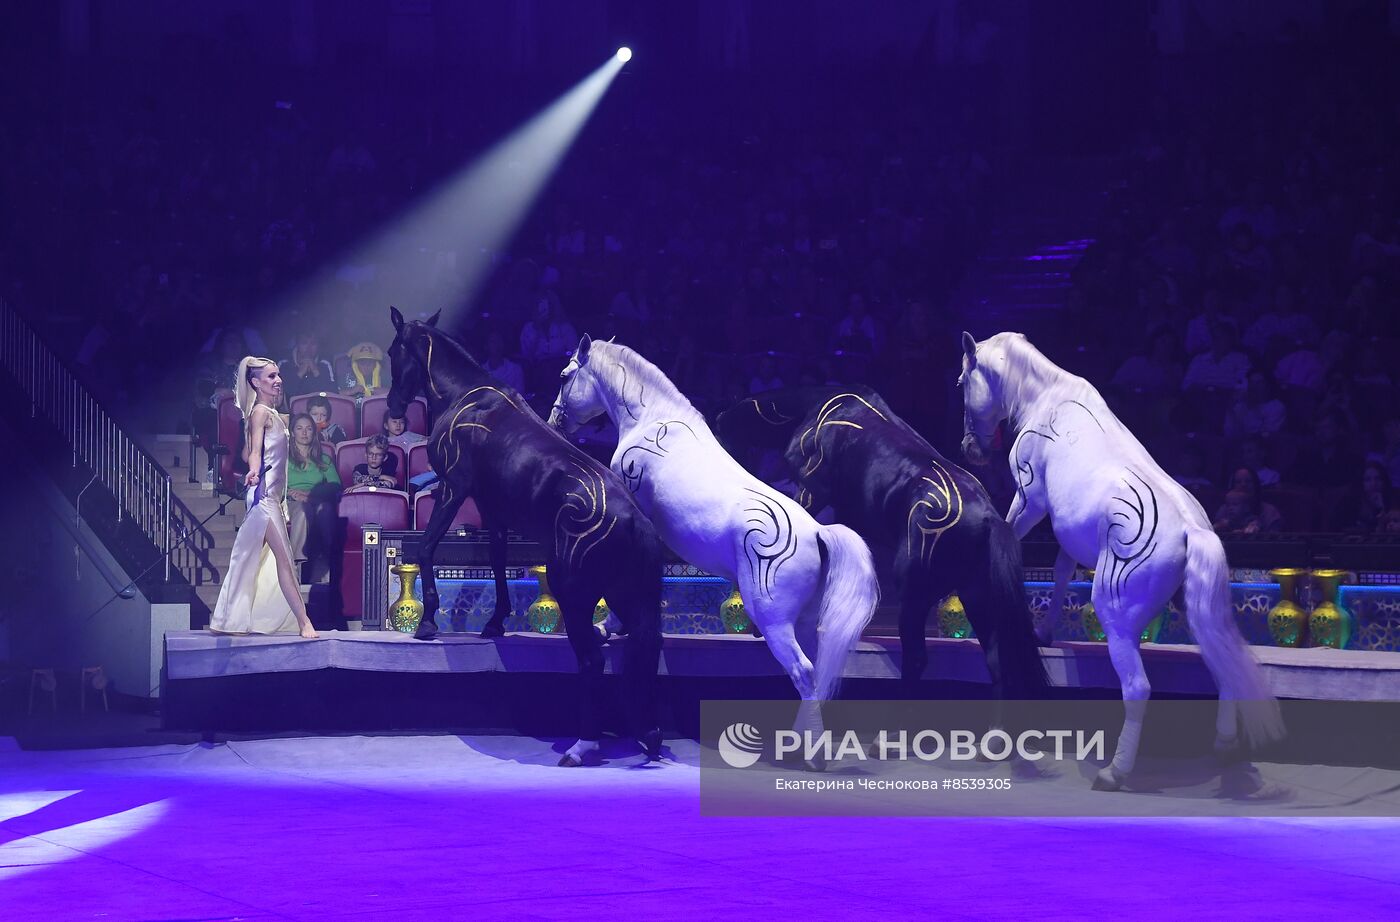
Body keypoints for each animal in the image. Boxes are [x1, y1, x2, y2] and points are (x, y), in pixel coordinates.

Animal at [386, 306, 663, 766]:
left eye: (394, 351)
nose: (391, 406)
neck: (468, 395)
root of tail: (633, 520)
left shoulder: (453, 489)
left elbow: (426, 547)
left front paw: (426, 621)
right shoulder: (492, 509)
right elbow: (497, 560)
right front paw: (496, 622)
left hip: (575, 593)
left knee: (592, 662)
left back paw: (582, 746)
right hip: (629, 594)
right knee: (647, 649)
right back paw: (649, 734)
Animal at [546, 335, 873, 761]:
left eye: (565, 375)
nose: (554, 421)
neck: (652, 421)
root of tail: (818, 533)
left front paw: (607, 626)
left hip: (774, 619)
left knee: (803, 672)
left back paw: (807, 750)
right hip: (803, 621)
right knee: (814, 671)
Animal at [716, 383, 1047, 699]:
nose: (717, 426)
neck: (817, 407)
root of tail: (990, 519)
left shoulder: (811, 491)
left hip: (916, 594)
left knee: (916, 658)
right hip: (976, 595)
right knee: (998, 664)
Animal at [957, 332, 1282, 794]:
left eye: (962, 380)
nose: (970, 449)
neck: (1045, 399)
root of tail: (1193, 531)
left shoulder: (1030, 500)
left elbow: (1012, 537)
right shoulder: (1071, 532)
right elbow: (1060, 572)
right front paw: (1044, 632)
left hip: (1116, 612)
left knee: (1138, 687)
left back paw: (1116, 771)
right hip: (1198, 612)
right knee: (1223, 666)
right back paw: (1223, 744)